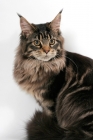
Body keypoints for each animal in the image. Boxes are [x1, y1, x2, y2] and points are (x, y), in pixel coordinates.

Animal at [13, 10, 93, 140]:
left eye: (52, 42)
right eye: (37, 42)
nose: (46, 51)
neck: (39, 67)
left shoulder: (50, 101)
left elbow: (52, 121)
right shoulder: (42, 102)